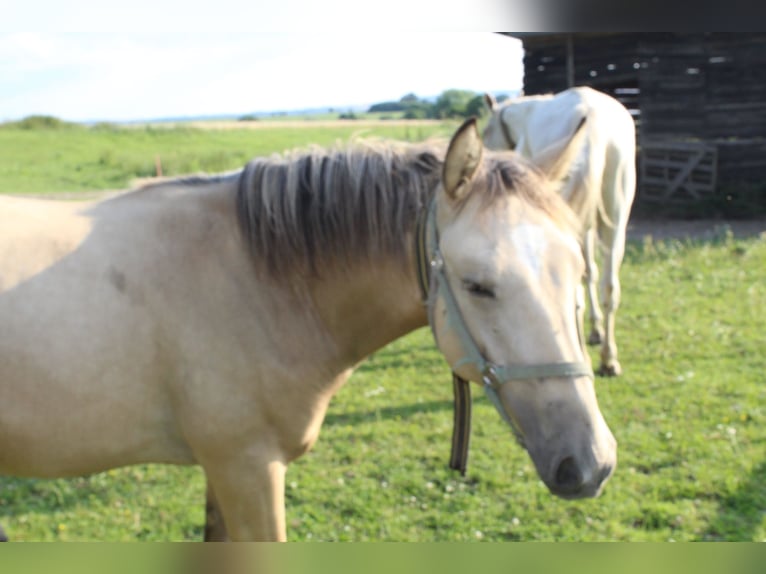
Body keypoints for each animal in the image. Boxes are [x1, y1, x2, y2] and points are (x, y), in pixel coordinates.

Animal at [0, 119, 616, 544]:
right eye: (478, 285)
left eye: (578, 273)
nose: (592, 461)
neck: (259, 281)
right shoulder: (247, 469)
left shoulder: (223, 473)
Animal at [484, 88, 640, 378]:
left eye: (488, 129)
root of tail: (594, 121)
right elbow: (591, 272)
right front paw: (596, 332)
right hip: (615, 221)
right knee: (610, 287)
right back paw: (608, 359)